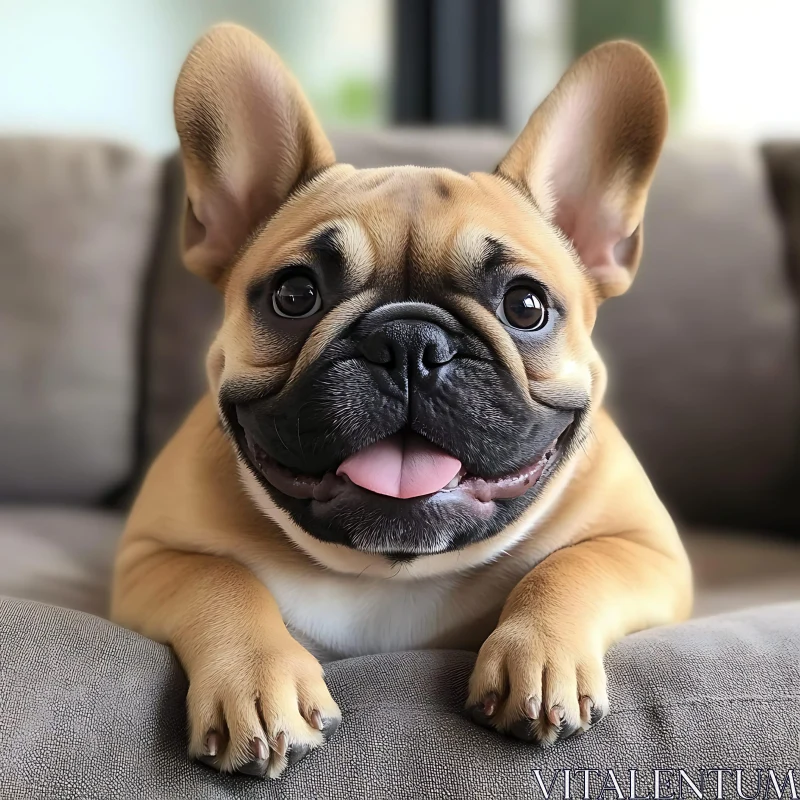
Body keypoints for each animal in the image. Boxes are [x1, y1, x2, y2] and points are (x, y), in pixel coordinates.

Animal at [111, 26, 692, 780]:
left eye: (526, 305)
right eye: (295, 295)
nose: (408, 341)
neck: (389, 571)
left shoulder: (646, 549)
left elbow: (573, 566)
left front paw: (539, 658)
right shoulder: (150, 557)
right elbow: (220, 579)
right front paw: (257, 684)